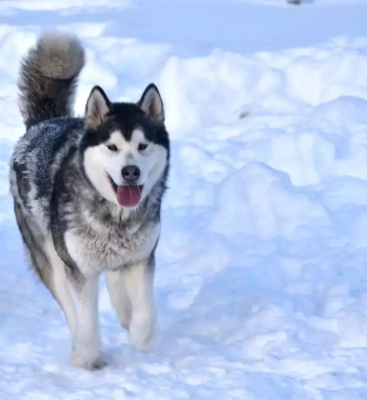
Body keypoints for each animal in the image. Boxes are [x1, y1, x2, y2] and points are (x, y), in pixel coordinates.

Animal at [8, 30, 170, 368]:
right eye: (112, 147)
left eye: (143, 145)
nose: (131, 172)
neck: (115, 219)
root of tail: (42, 125)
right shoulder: (77, 268)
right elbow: (85, 319)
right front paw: (87, 356)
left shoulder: (141, 258)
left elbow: (146, 315)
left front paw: (139, 335)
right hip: (48, 254)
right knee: (68, 303)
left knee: (116, 282)